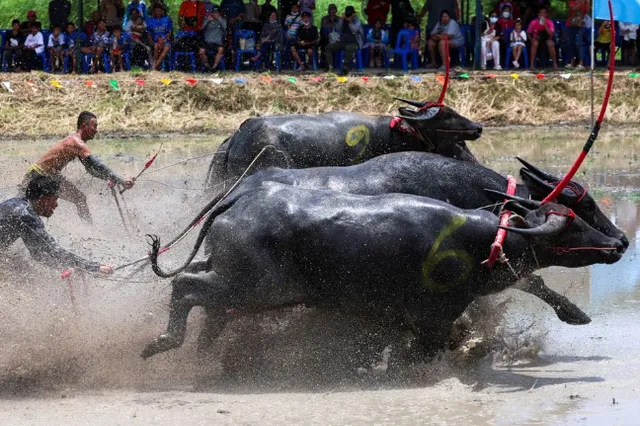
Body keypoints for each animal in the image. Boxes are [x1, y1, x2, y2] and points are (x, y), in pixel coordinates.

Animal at [141, 181, 624, 358]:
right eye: (573, 224)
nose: (618, 243)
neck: (481, 240)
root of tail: (236, 201)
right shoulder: (432, 316)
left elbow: (533, 282)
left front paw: (574, 312)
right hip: (253, 288)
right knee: (186, 285)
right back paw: (164, 342)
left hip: (242, 288)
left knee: (206, 304)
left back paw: (203, 350)